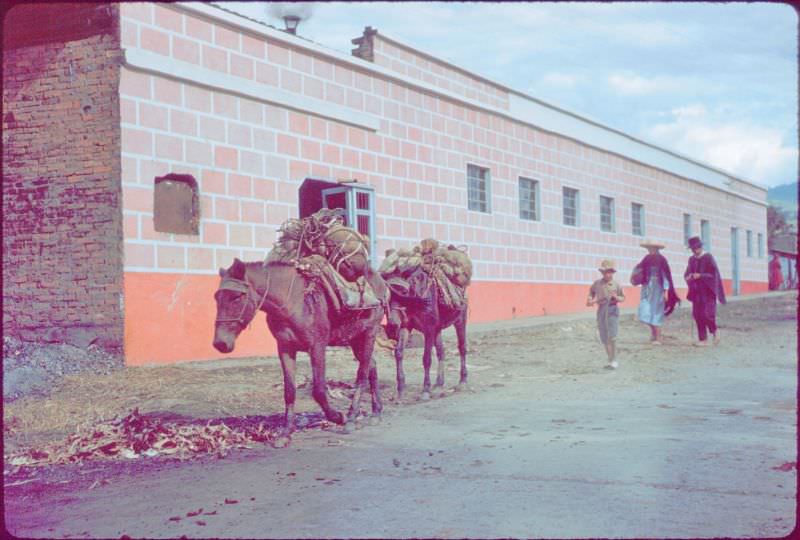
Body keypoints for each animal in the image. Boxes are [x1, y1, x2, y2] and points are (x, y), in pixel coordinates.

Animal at [212, 258, 388, 442]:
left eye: (237, 297)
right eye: (217, 297)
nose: (220, 343)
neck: (292, 303)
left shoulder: (317, 347)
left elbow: (319, 390)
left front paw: (338, 417)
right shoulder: (285, 348)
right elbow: (289, 390)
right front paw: (286, 432)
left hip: (369, 334)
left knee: (362, 374)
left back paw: (352, 418)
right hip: (355, 339)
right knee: (371, 366)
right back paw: (376, 413)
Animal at [382, 266, 466, 400]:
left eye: (404, 292)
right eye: (387, 295)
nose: (392, 325)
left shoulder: (429, 329)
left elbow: (426, 358)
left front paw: (425, 390)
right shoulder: (406, 327)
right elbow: (399, 353)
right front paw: (401, 389)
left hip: (460, 320)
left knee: (462, 348)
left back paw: (462, 382)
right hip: (438, 329)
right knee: (441, 352)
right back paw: (438, 384)